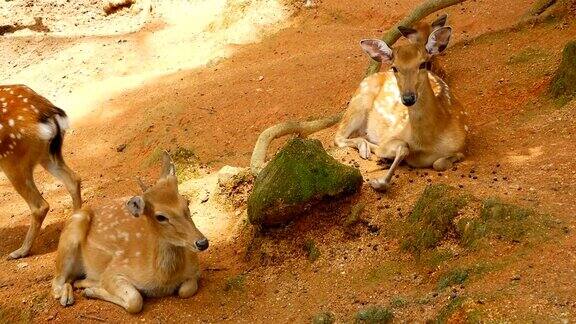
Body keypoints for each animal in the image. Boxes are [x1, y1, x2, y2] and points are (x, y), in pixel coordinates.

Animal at [0, 85, 82, 260]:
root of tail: (48, 112)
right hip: (47, 154)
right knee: (73, 179)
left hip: (13, 161)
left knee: (40, 205)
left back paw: (20, 251)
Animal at [51, 153, 209, 314]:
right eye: (160, 217)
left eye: (186, 202)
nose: (202, 242)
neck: (163, 279)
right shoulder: (115, 269)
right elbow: (135, 300)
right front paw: (91, 291)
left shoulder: (195, 270)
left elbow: (186, 290)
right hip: (73, 229)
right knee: (56, 283)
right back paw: (70, 297)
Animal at [332, 22, 468, 191]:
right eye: (395, 67)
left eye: (422, 64)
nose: (408, 98)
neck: (426, 144)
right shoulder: (390, 136)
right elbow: (402, 148)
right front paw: (377, 181)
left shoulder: (463, 144)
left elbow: (439, 163)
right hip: (359, 100)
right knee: (339, 137)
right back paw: (366, 149)